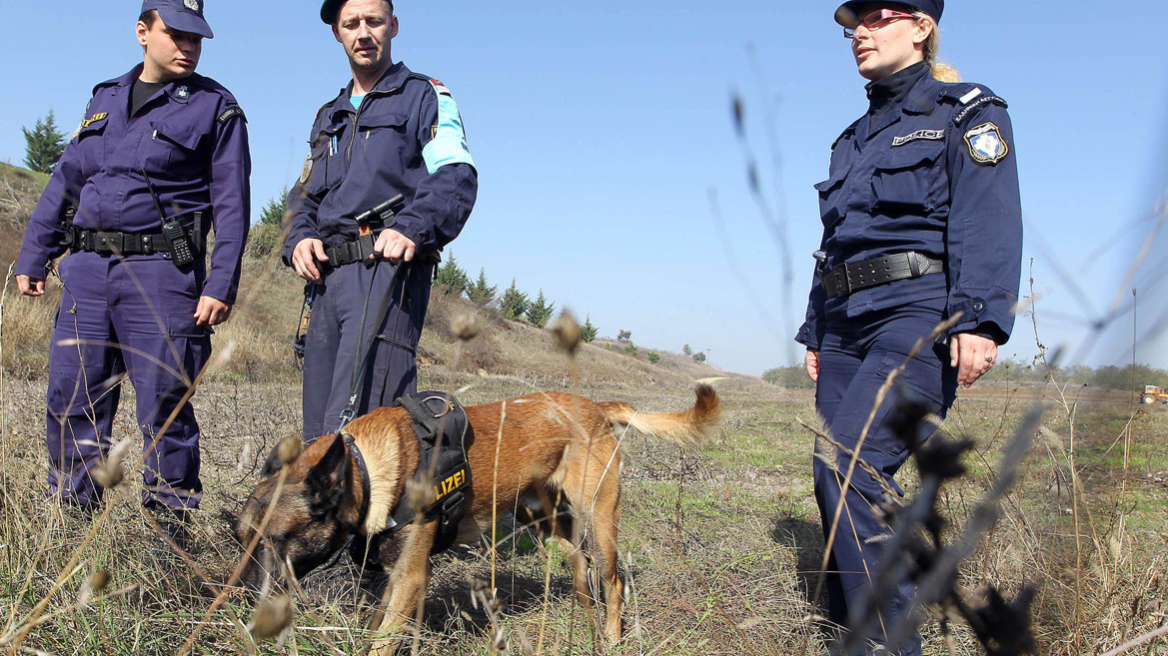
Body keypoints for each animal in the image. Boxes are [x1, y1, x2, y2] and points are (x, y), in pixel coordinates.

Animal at [237, 382, 719, 648]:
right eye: (242, 538)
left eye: (274, 541)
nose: (241, 600)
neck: (367, 466)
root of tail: (598, 408)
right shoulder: (397, 576)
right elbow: (380, 626)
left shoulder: (411, 576)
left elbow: (383, 640)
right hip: (540, 517)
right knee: (579, 564)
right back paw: (585, 623)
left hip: (600, 519)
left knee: (612, 580)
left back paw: (613, 637)